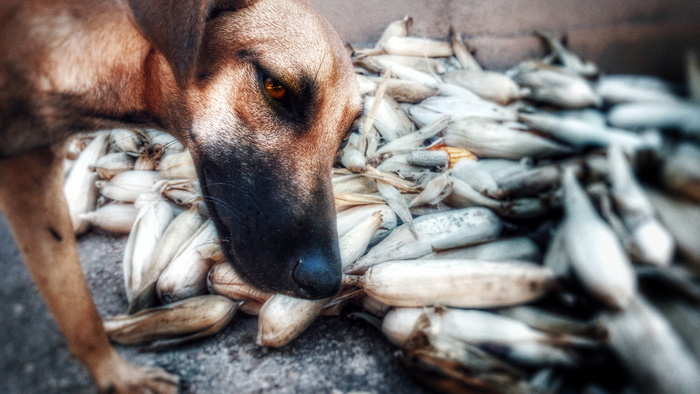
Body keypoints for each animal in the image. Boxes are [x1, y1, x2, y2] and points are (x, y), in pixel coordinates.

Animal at [0, 0, 360, 390]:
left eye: (348, 132)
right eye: (276, 88)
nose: (324, 282)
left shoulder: (30, 175)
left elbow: (75, 307)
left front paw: (117, 376)